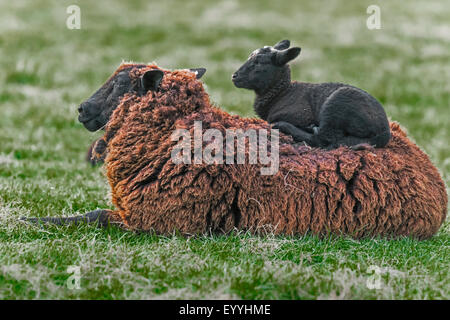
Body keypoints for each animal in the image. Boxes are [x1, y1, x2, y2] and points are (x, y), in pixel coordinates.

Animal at [232, 40, 390, 150]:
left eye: (259, 62)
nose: (234, 76)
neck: (282, 93)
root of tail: (384, 130)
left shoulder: (299, 115)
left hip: (337, 105)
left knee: (324, 139)